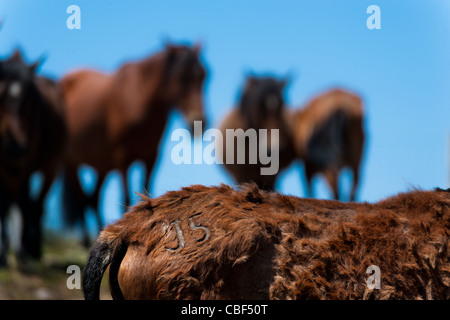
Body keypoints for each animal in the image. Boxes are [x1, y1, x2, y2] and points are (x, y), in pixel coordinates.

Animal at [0, 50, 67, 264]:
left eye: (28, 100)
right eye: (0, 97)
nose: (16, 146)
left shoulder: (25, 167)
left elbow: (23, 203)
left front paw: (22, 253)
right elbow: (5, 205)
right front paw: (3, 254)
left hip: (51, 166)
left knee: (35, 205)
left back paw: (32, 249)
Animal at [60, 43, 207, 245]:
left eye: (204, 75)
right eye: (181, 77)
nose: (199, 121)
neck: (140, 100)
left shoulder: (151, 157)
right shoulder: (123, 158)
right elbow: (126, 198)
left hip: (103, 166)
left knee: (94, 198)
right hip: (71, 162)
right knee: (82, 197)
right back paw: (86, 239)